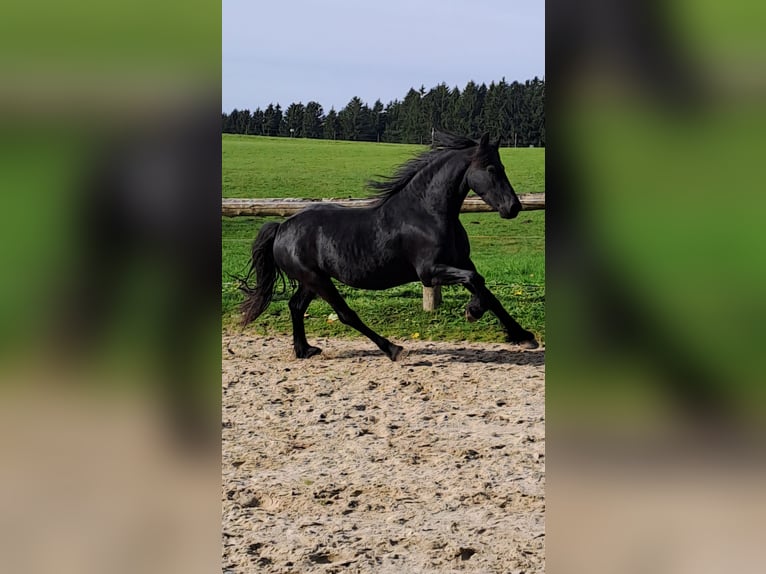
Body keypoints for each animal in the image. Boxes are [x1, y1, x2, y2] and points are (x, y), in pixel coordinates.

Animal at [238, 131, 539, 360]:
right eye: (491, 169)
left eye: (503, 168)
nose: (513, 207)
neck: (427, 213)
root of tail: (281, 227)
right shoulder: (430, 272)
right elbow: (477, 281)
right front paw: (473, 312)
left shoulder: (461, 262)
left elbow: (487, 291)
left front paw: (524, 336)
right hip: (317, 280)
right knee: (345, 314)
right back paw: (393, 348)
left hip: (312, 280)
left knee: (296, 306)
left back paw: (305, 350)